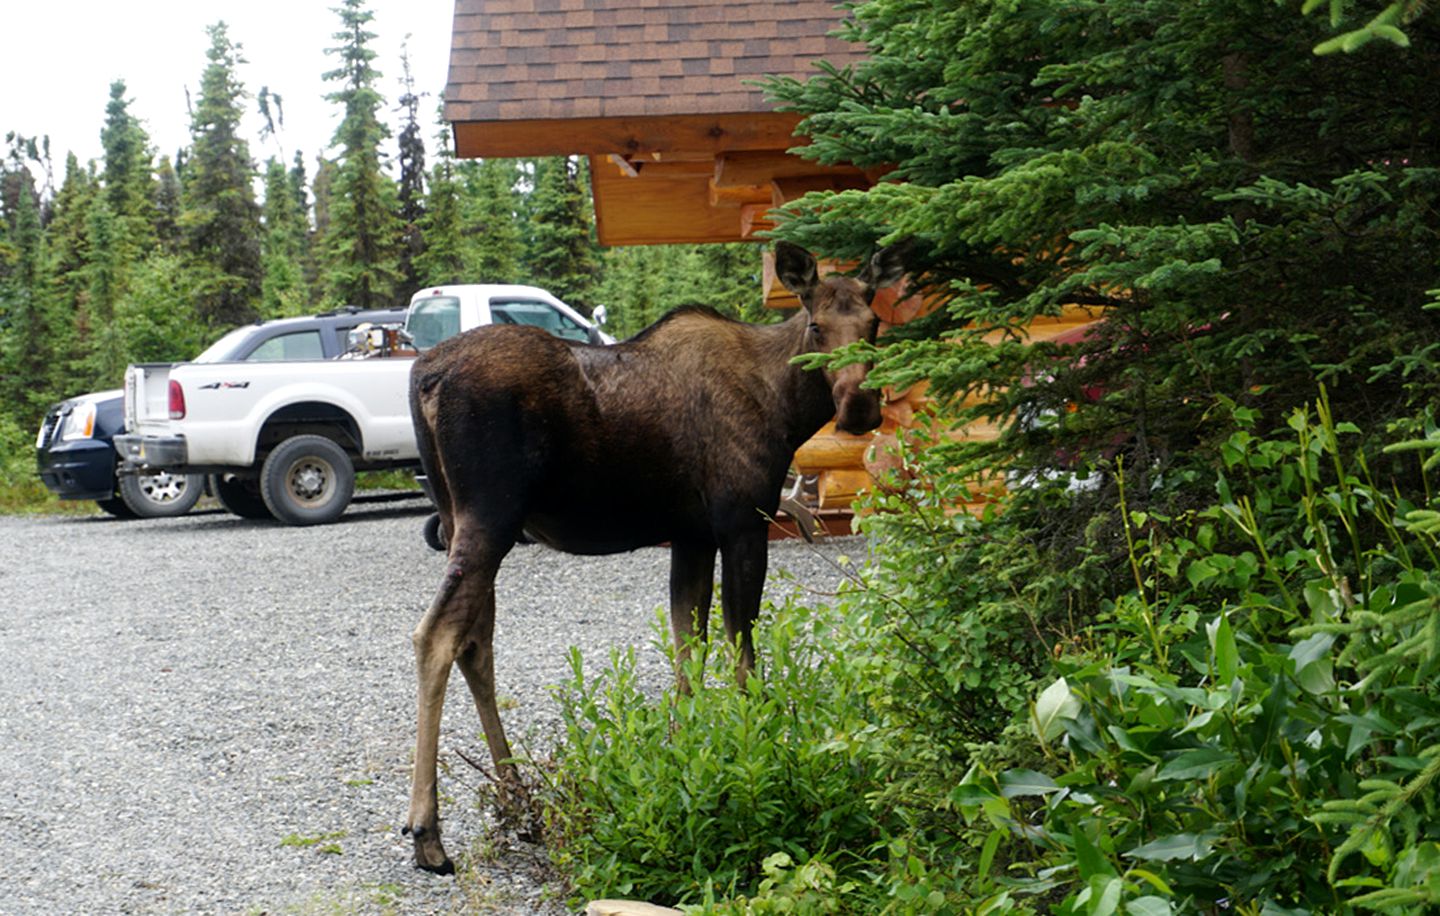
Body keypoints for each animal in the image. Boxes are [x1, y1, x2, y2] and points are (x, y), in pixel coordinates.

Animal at [403, 239, 898, 869]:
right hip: (490, 516)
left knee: (476, 642)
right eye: (816, 325)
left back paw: (517, 799)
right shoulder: (742, 522)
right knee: (437, 635)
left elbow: (690, 652)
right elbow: (742, 654)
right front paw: (756, 749)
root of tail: (425, 375)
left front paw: (686, 754)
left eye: (875, 323)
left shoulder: (692, 534)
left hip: (458, 519)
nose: (859, 406)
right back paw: (428, 830)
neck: (786, 409)